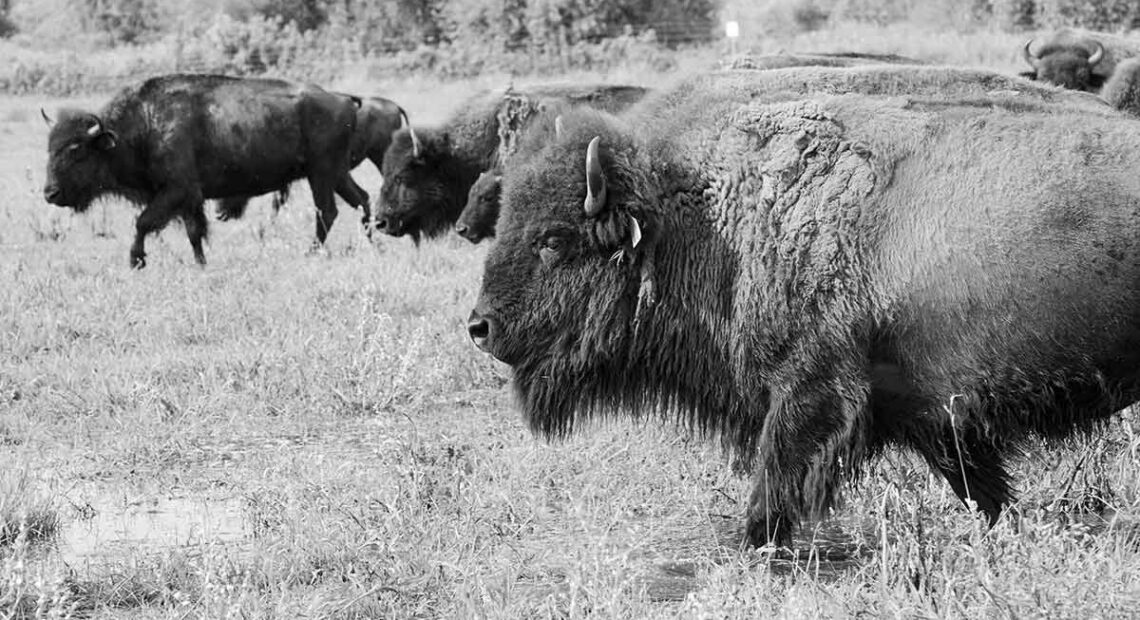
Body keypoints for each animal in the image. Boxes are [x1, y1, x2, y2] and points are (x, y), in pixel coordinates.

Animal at [43, 72, 364, 266]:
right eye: (49, 147)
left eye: (76, 150)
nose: (50, 193)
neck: (145, 125)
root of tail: (343, 99)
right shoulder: (188, 199)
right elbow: (194, 232)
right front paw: (201, 263)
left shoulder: (176, 191)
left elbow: (143, 222)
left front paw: (136, 261)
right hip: (335, 174)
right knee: (362, 199)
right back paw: (371, 243)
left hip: (321, 174)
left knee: (327, 211)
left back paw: (311, 252)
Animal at [465, 70, 1140, 549]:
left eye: (554, 240)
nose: (480, 327)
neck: (715, 220)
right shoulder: (937, 419)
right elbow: (979, 486)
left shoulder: (810, 392)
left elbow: (775, 481)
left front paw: (750, 547)